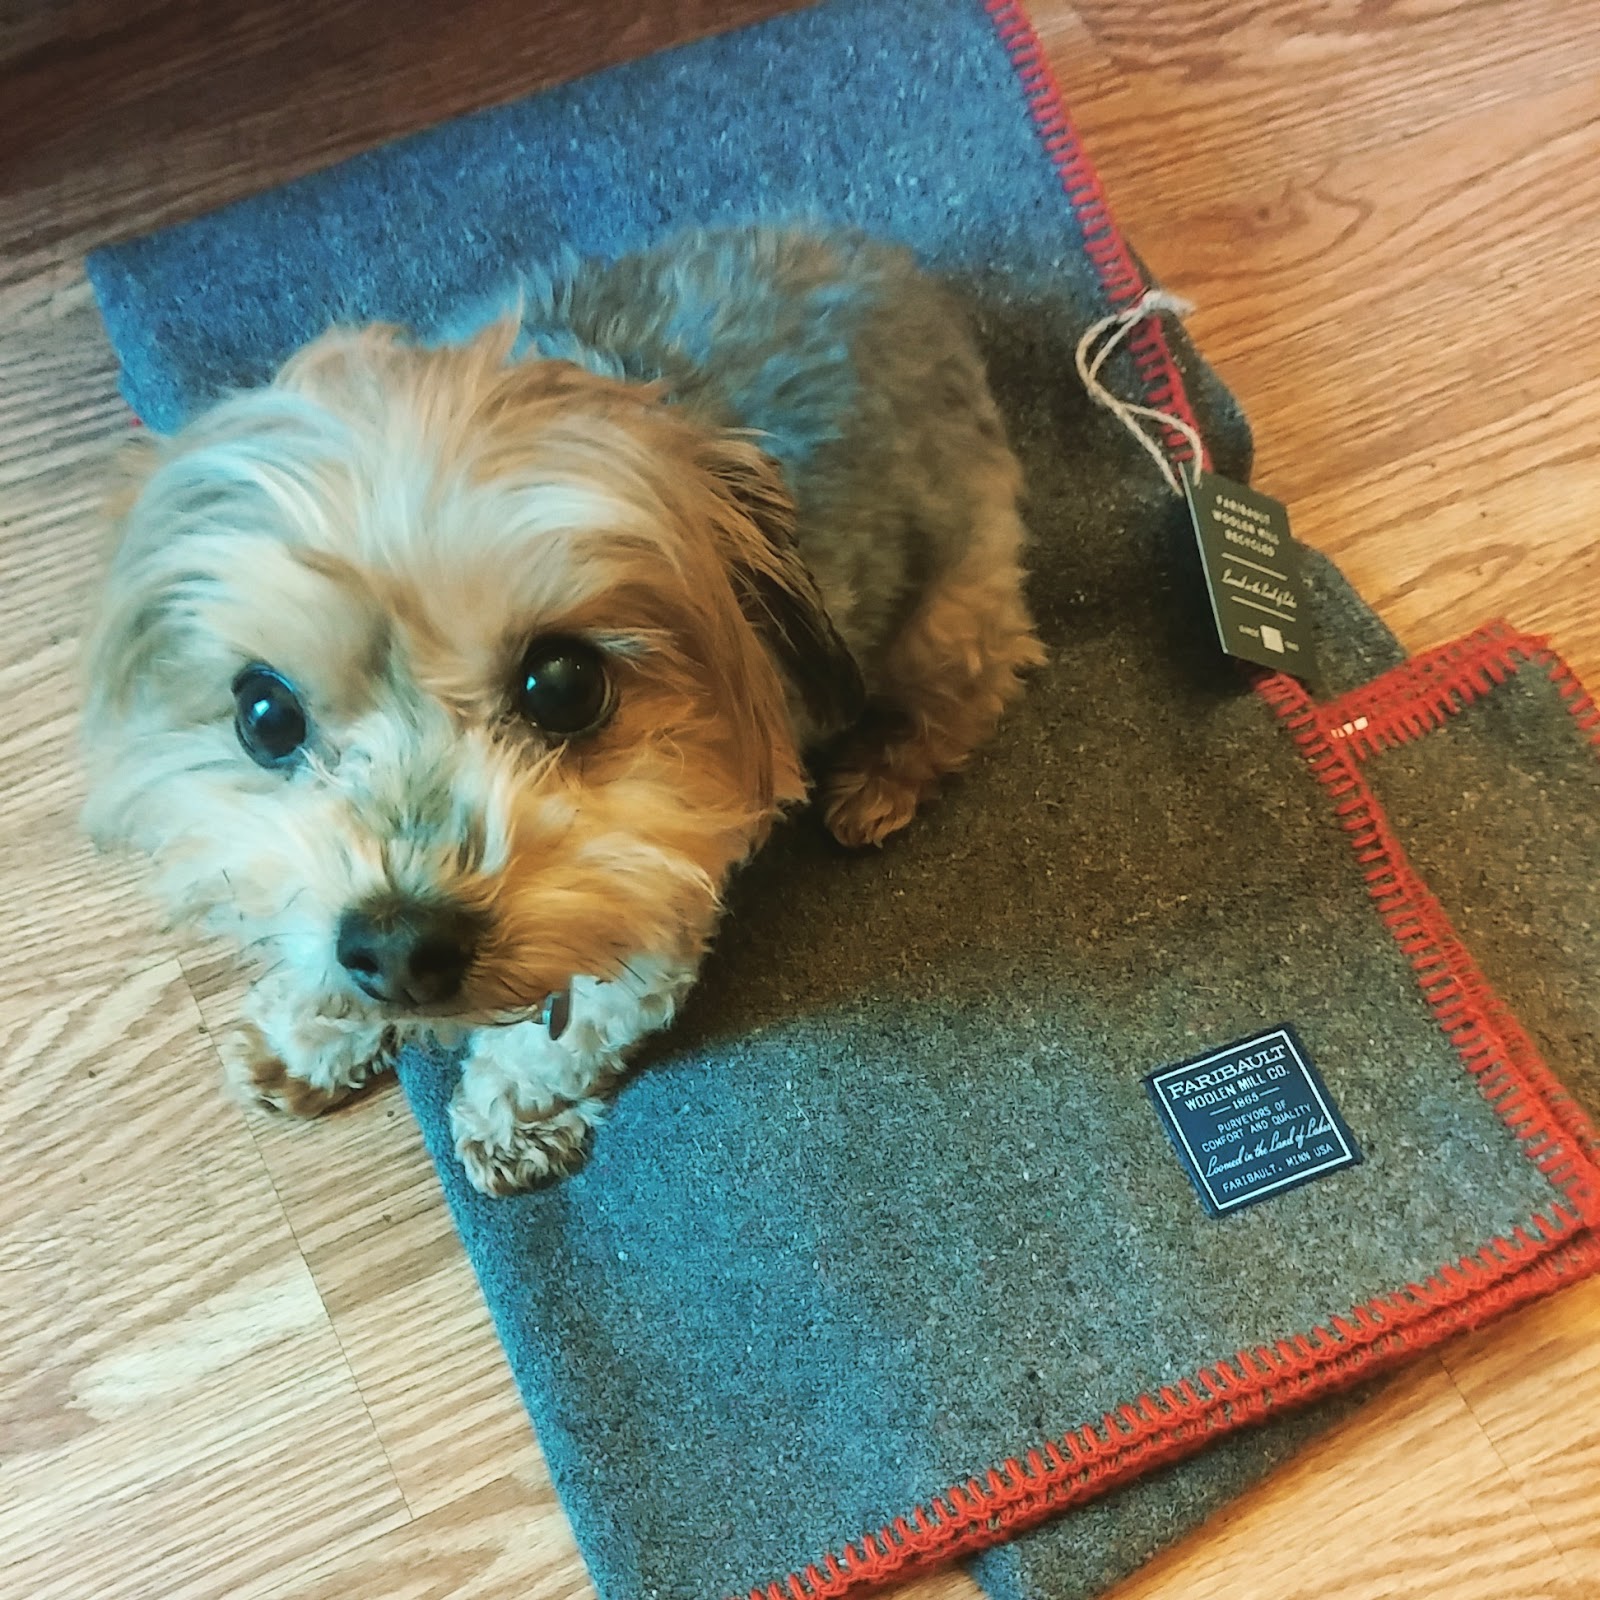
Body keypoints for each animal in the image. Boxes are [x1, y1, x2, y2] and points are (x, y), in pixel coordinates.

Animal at [81, 225, 1043, 1194]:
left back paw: (882, 779)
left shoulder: (655, 892)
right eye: (265, 715)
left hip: (947, 608)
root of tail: (889, 267)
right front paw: (310, 1030)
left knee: (979, 680)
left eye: (566, 685)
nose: (399, 946)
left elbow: (570, 1037)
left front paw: (513, 1114)